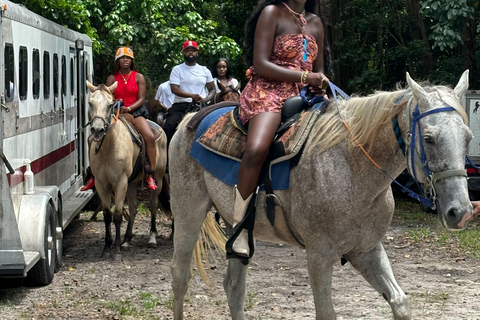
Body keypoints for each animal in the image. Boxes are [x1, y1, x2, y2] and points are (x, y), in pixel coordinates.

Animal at [86, 80, 169, 260]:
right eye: (90, 103)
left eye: (110, 104)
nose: (97, 130)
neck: (108, 148)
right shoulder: (102, 184)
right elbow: (107, 215)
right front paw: (107, 247)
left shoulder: (120, 182)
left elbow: (117, 215)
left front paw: (116, 250)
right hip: (131, 182)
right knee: (133, 207)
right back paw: (127, 240)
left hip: (157, 179)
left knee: (153, 204)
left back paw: (152, 238)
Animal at [169, 71, 472, 318]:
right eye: (429, 138)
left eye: (468, 137)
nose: (461, 213)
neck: (351, 167)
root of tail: (191, 119)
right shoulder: (319, 256)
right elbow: (326, 312)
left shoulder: (367, 250)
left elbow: (400, 302)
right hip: (188, 215)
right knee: (180, 278)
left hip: (237, 230)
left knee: (234, 286)